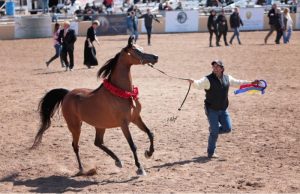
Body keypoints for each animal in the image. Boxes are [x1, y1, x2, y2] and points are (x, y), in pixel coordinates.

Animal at [32, 36, 159, 176]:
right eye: (136, 51)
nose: (155, 57)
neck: (123, 93)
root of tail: (67, 94)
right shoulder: (124, 124)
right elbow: (132, 145)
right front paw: (140, 167)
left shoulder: (136, 118)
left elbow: (150, 133)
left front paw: (148, 153)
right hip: (75, 126)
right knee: (75, 146)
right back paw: (82, 169)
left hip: (100, 125)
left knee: (98, 142)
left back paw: (118, 161)